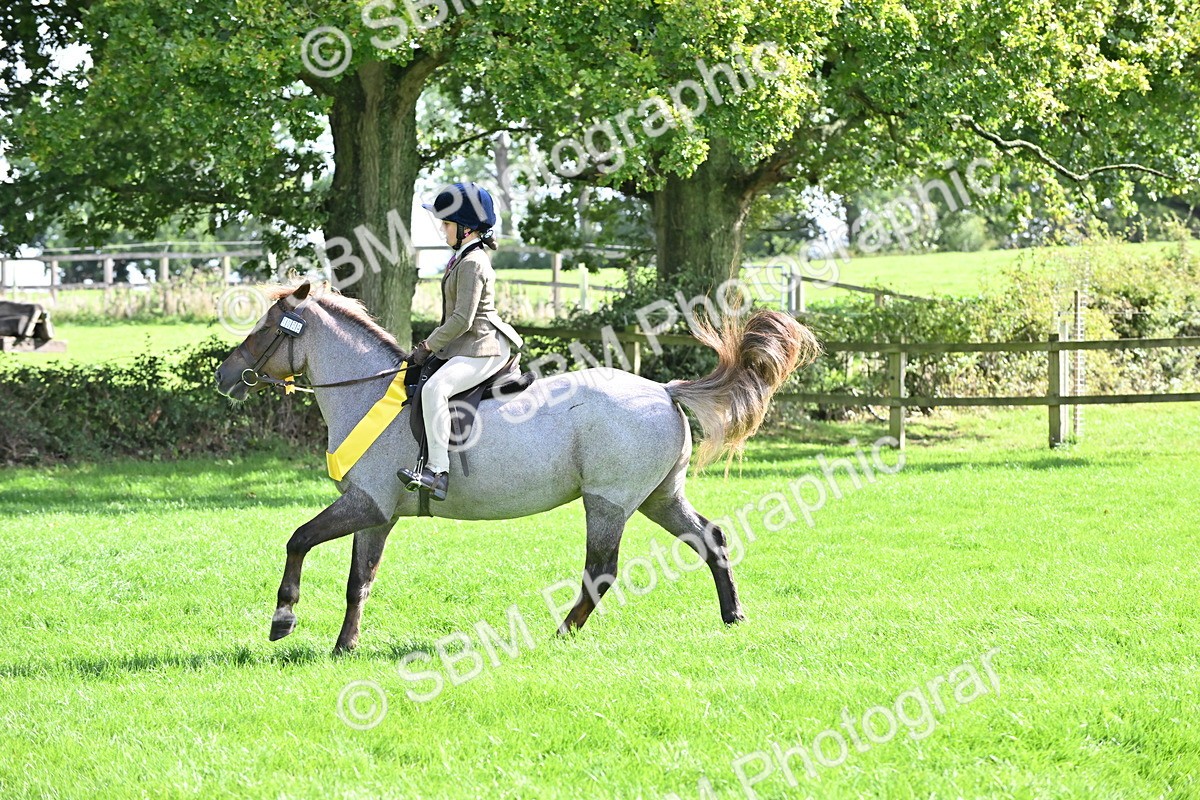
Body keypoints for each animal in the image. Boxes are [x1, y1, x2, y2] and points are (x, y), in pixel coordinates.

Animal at [215, 281, 820, 653]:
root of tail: (664, 391)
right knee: (710, 538)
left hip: (609, 502)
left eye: (265, 328)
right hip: (659, 498)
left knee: (601, 571)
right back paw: (733, 616)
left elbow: (298, 539)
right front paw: (345, 645)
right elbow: (358, 582)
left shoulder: (364, 504)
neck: (364, 392)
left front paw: (283, 619)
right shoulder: (377, 514)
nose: (223, 376)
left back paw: (560, 634)